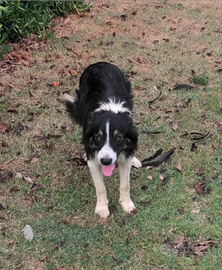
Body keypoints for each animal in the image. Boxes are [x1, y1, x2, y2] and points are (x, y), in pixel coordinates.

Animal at [63, 62, 141, 218]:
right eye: (98, 137)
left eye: (118, 137)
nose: (105, 161)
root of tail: (100, 63)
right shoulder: (94, 162)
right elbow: (100, 187)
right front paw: (102, 208)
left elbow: (125, 184)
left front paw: (126, 204)